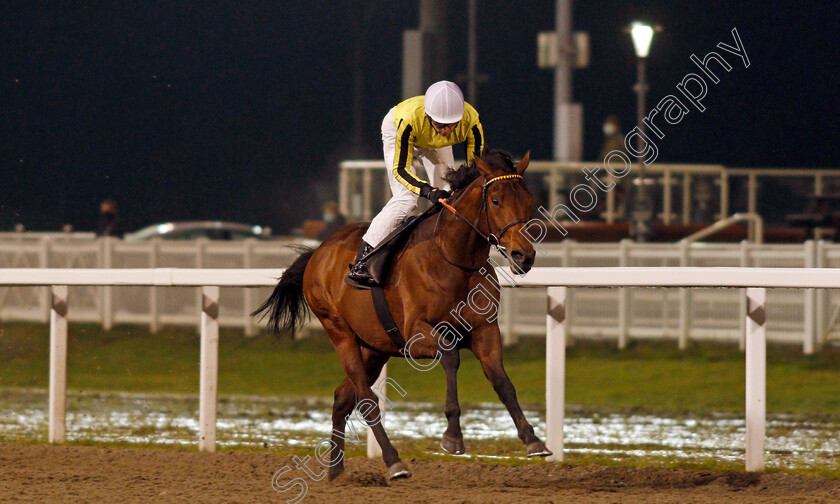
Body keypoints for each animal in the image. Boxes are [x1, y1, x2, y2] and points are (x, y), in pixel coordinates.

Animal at [251, 150, 552, 480]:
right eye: (496, 200)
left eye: (529, 199)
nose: (524, 256)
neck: (452, 258)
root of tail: (318, 252)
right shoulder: (416, 334)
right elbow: (450, 356)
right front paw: (452, 435)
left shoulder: (485, 330)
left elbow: (502, 381)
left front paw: (533, 439)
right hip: (339, 332)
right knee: (366, 400)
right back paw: (394, 462)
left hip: (374, 347)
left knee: (343, 397)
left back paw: (336, 470)